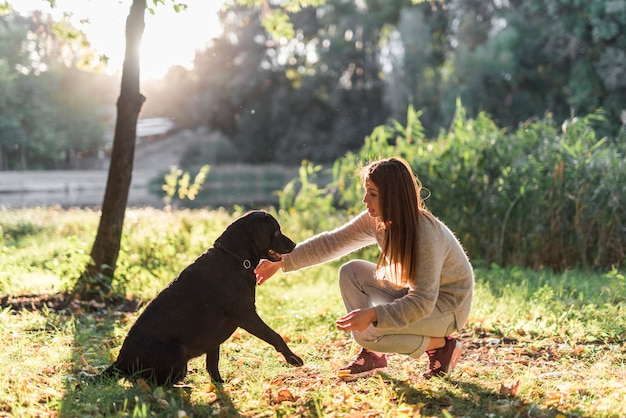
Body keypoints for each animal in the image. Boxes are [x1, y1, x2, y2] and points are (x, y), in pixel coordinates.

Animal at [102, 211, 302, 384]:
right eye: (276, 230)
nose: (294, 245)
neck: (235, 258)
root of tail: (120, 361)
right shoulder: (246, 315)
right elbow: (275, 336)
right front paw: (293, 358)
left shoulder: (215, 334)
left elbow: (212, 362)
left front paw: (219, 383)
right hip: (178, 354)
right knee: (151, 381)